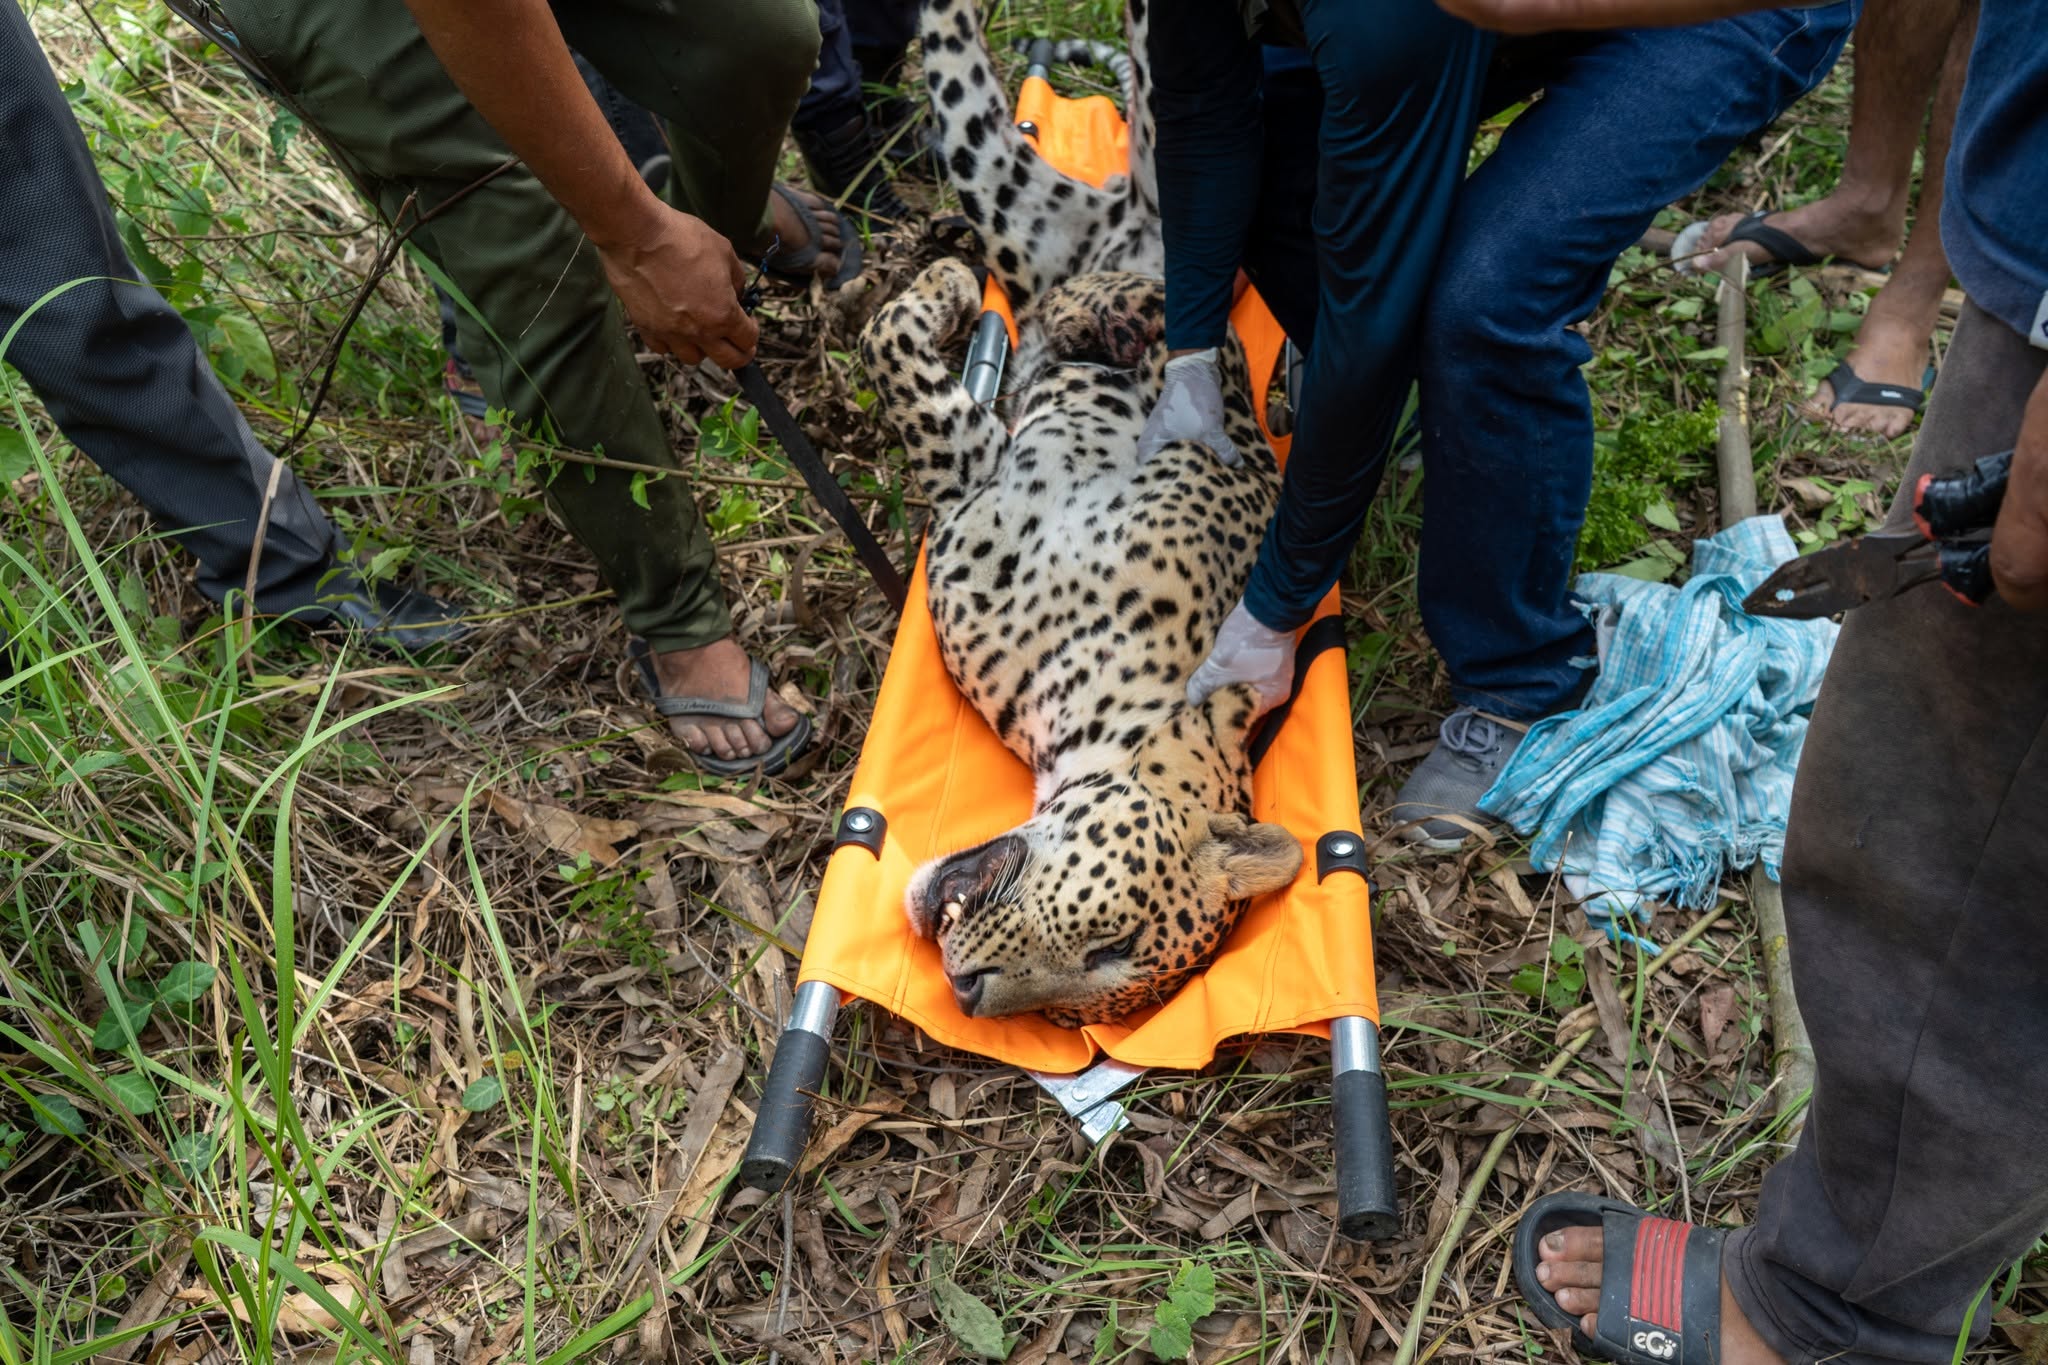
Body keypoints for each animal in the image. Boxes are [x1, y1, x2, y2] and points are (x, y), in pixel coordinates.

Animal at [860, 257, 1302, 1029]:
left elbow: (895, 350)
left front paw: (948, 289)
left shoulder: (977, 483)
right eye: (1113, 942)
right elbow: (889, 339)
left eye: (1067, 1017)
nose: (966, 991)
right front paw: (951, 284)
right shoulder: (984, 492)